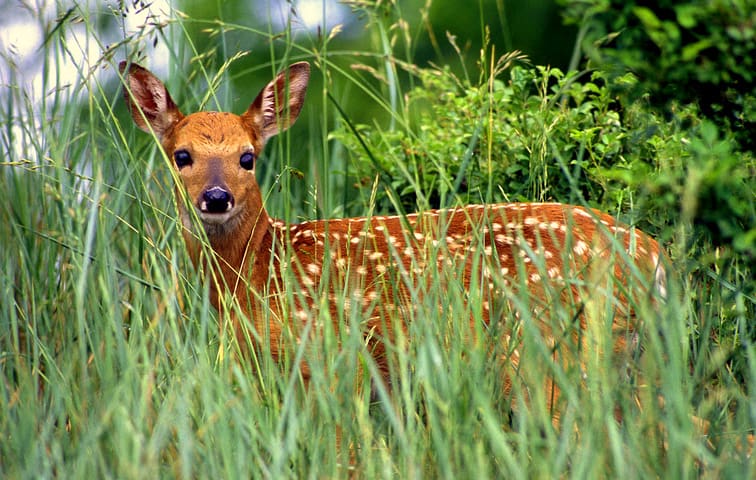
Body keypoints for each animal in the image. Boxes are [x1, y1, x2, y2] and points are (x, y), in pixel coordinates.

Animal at [120, 60, 668, 426]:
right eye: (181, 155)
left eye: (248, 157)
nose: (216, 197)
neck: (258, 270)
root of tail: (652, 253)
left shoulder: (332, 358)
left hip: (554, 349)